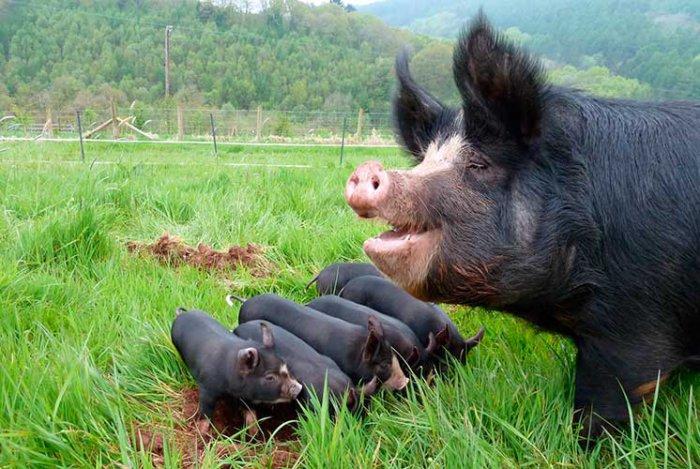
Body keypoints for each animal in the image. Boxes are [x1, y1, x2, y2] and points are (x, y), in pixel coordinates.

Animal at [344, 12, 700, 440]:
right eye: (427, 158)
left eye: (479, 164)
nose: (368, 169)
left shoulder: (632, 326)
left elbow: (604, 403)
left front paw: (586, 444)